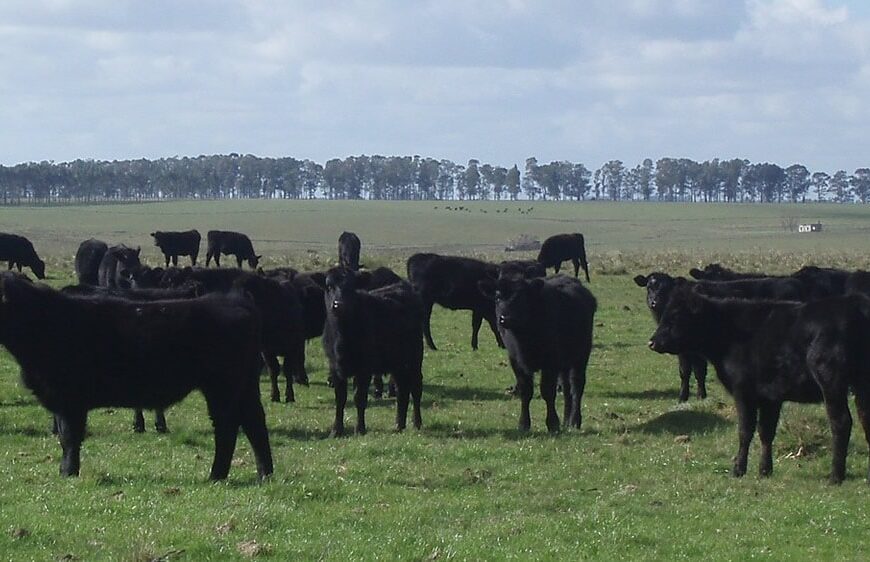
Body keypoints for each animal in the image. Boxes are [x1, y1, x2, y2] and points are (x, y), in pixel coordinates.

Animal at [0, 274, 272, 480]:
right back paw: (264, 474)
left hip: (223, 387)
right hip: (245, 385)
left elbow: (69, 437)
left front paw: (68, 472)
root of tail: (235, 301)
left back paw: (216, 475)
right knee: (254, 422)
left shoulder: (69, 399)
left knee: (227, 425)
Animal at [324, 270, 426, 436]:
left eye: (351, 286)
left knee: (416, 388)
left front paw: (360, 429)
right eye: (329, 286)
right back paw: (399, 424)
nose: (338, 304)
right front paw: (336, 430)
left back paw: (416, 422)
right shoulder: (335, 368)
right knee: (402, 390)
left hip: (414, 359)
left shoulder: (364, 369)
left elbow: (359, 398)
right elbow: (340, 399)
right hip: (398, 363)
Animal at [480, 274, 596, 430]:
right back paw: (566, 420)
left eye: (521, 297)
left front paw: (553, 424)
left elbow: (547, 392)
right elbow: (526, 391)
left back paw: (575, 421)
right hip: (564, 363)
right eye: (497, 297)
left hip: (581, 355)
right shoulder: (516, 361)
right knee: (566, 388)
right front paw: (523, 424)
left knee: (577, 385)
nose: (505, 318)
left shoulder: (550, 362)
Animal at [632, 272, 708, 400]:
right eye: (648, 287)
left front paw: (701, 397)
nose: (654, 303)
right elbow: (684, 371)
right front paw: (682, 398)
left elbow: (700, 371)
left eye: (666, 288)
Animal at [652, 284, 870, 482]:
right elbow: (766, 431)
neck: (730, 334)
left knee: (841, 422)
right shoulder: (770, 396)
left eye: (676, 317)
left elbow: (745, 430)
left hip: (831, 382)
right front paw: (765, 470)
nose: (651, 342)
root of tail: (856, 304)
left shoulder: (743, 391)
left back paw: (835, 476)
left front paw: (738, 469)